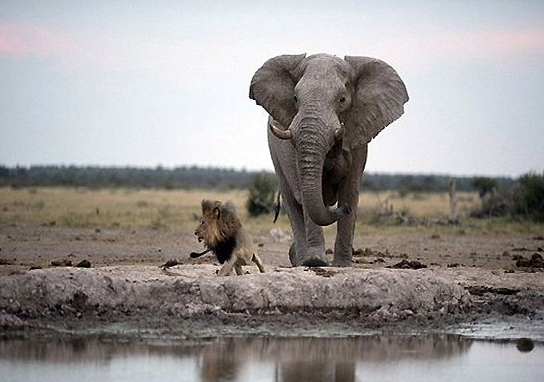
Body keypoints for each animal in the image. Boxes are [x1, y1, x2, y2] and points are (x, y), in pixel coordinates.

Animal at [249, 53, 406, 268]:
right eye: (295, 98)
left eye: (342, 100)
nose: (344, 209)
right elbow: (305, 193)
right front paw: (315, 261)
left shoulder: (358, 137)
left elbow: (350, 191)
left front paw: (342, 265)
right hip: (274, 152)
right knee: (292, 201)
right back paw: (301, 259)